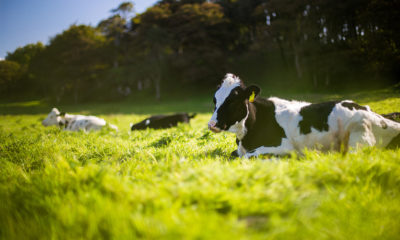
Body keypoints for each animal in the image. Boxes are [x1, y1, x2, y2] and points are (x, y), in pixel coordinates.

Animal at [208, 74, 400, 158]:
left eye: (233, 100)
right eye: (215, 99)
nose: (211, 124)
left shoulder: (283, 145)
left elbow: (247, 156)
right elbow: (235, 154)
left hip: (358, 137)